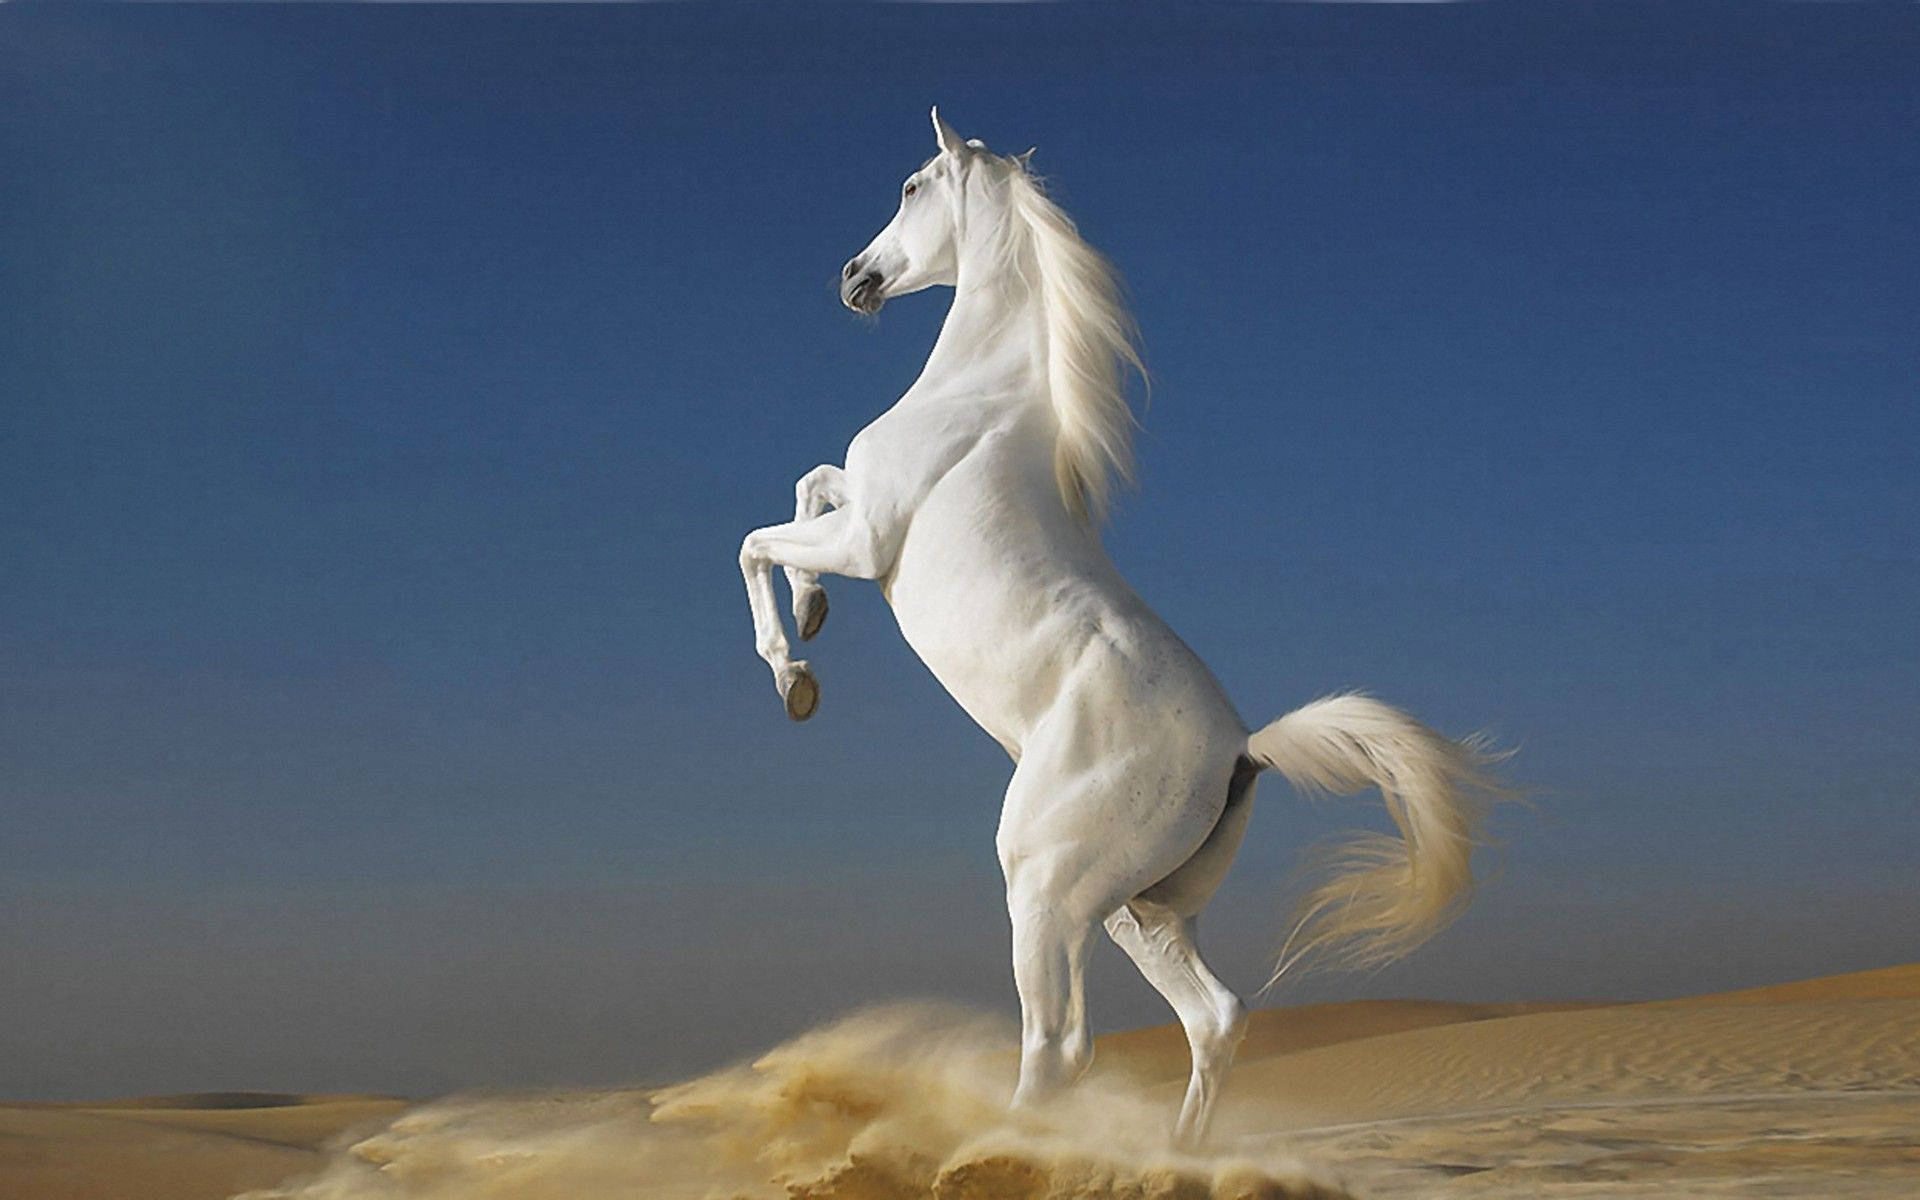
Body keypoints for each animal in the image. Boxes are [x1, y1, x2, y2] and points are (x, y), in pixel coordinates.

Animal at [737, 108, 1508, 1145]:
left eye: (909, 185)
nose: (856, 276)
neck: (979, 398)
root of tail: (1244, 750)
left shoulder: (869, 540)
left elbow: (759, 539)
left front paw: (796, 675)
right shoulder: (854, 513)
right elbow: (809, 483)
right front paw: (814, 614)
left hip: (1044, 888)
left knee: (1062, 1047)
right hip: (1135, 910)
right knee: (1214, 1019)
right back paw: (1175, 1155)